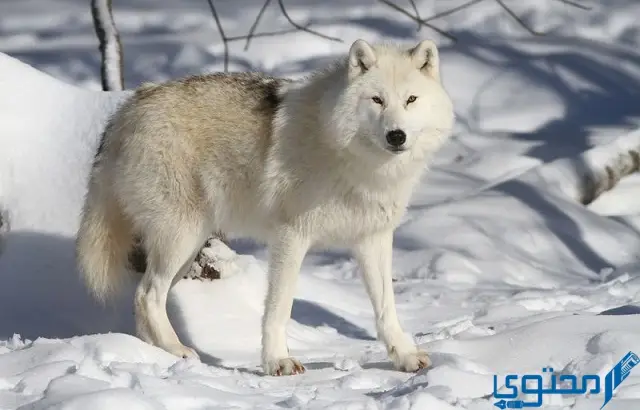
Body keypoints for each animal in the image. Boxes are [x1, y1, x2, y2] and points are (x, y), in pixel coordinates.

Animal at [75, 37, 456, 374]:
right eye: (377, 100)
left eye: (410, 100)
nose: (396, 135)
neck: (354, 160)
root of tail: (130, 105)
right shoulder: (291, 237)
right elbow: (279, 308)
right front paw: (277, 362)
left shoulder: (373, 238)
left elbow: (386, 308)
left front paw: (404, 356)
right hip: (181, 238)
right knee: (147, 295)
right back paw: (178, 351)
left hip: (188, 246)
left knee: (145, 300)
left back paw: (158, 354)